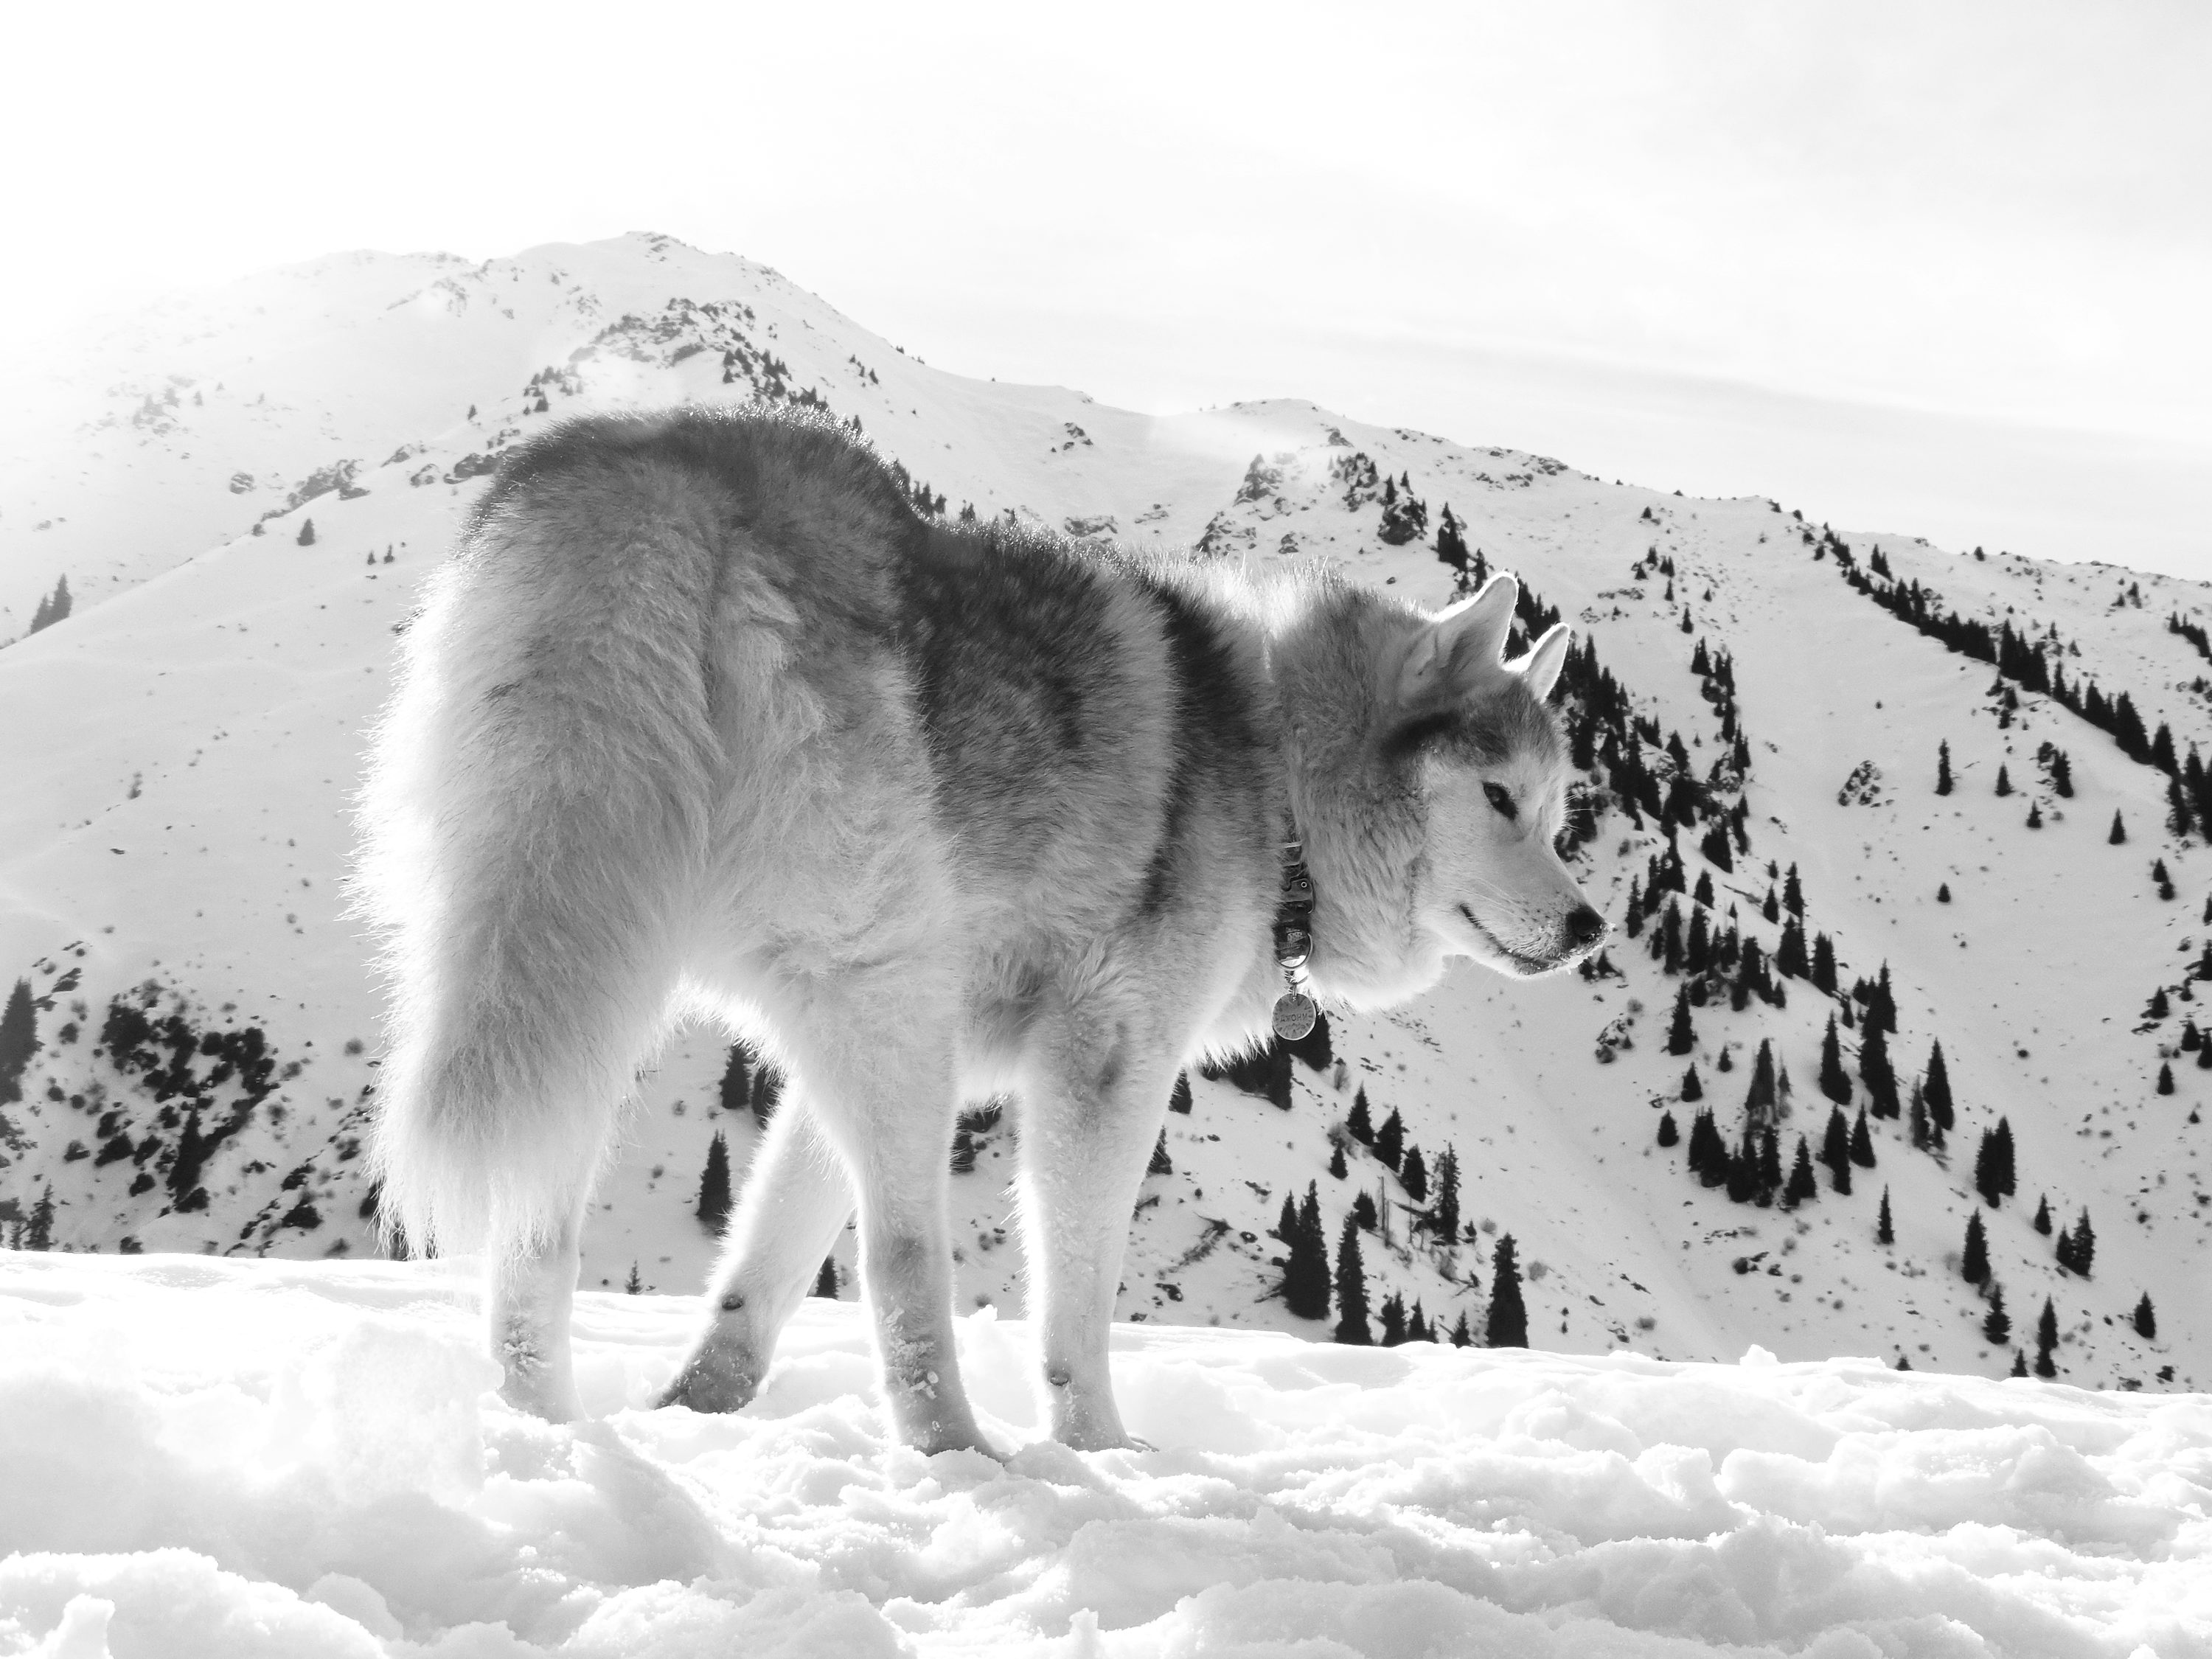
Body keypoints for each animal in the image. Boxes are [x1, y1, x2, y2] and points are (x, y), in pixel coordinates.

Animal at [356, 404, 1603, 1453]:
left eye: (1556, 814)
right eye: (1500, 799)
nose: (1590, 925)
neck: (1275, 765)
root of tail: (670, 461)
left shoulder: (861, 1073)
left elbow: (763, 1265)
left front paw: (699, 1402)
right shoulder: (1104, 1064)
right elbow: (1076, 1301)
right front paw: (1103, 1448)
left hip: (572, 979)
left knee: (533, 1238)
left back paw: (545, 1434)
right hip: (868, 991)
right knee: (905, 1266)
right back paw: (962, 1454)